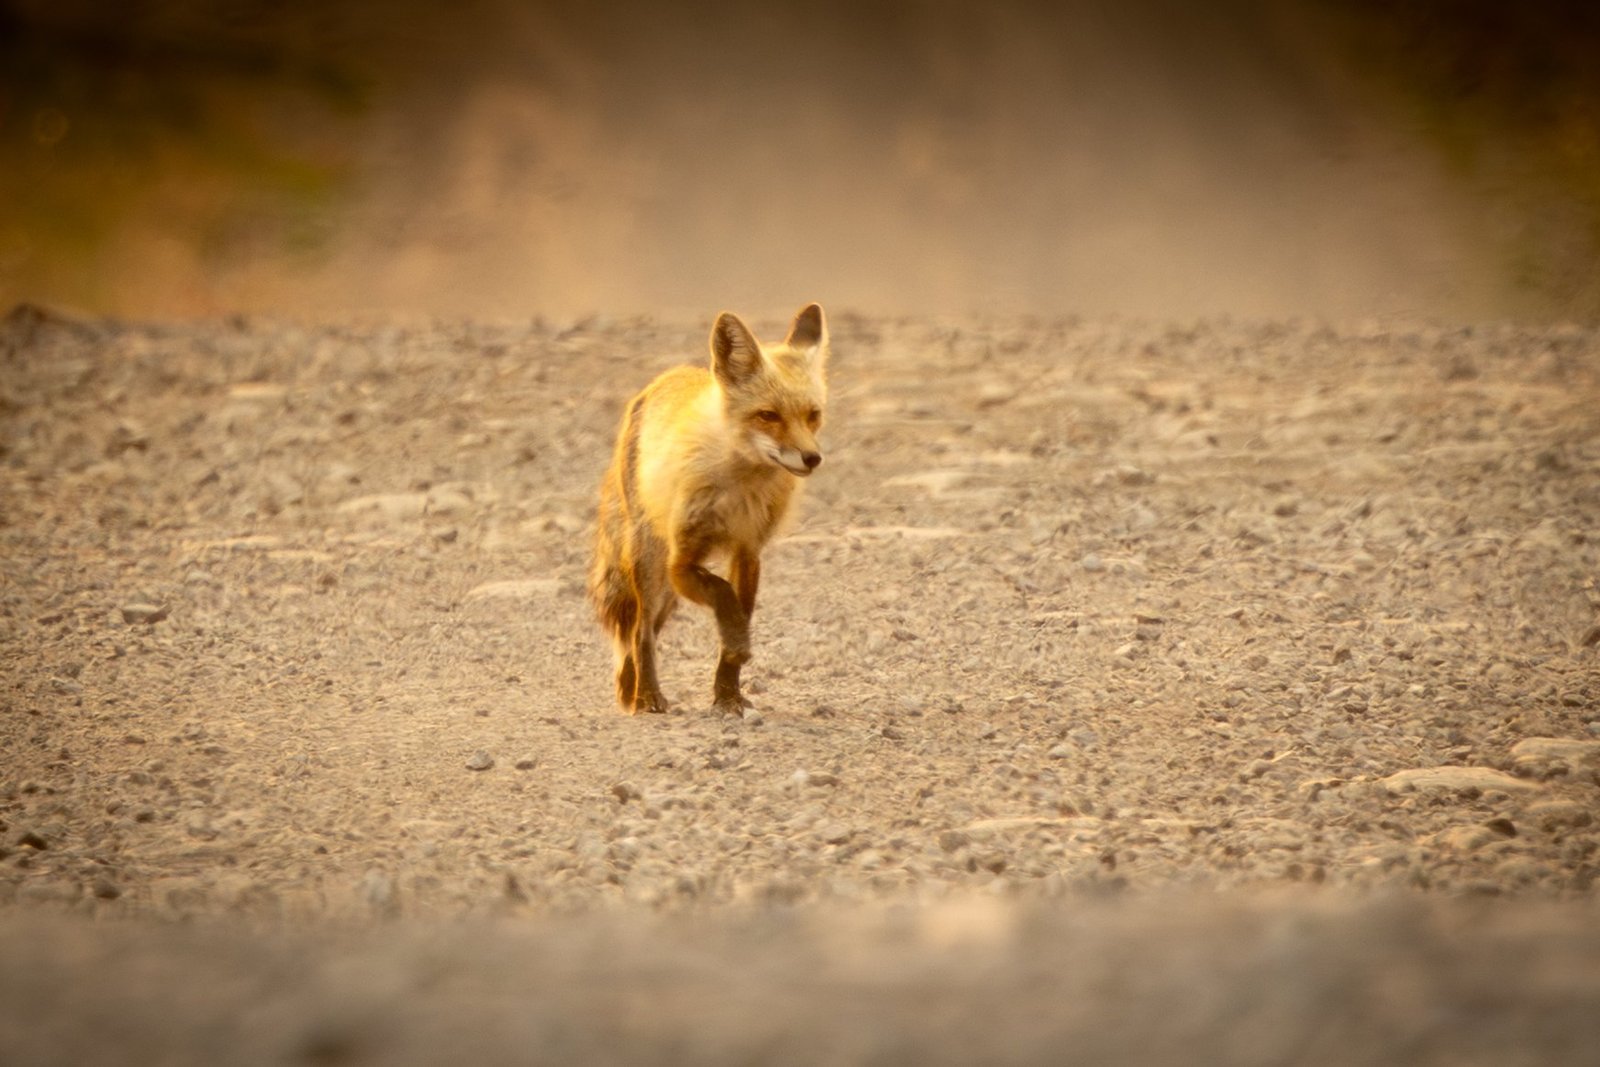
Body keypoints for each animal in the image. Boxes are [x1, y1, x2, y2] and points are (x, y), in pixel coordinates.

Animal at [588, 303, 830, 717]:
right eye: (768, 415)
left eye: (812, 414)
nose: (811, 458)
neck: (740, 489)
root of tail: (662, 379)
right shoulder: (681, 561)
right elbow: (722, 595)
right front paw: (736, 644)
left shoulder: (748, 551)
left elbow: (739, 612)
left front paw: (728, 693)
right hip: (650, 564)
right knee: (640, 631)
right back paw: (645, 695)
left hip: (665, 590)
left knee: (642, 631)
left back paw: (632, 687)